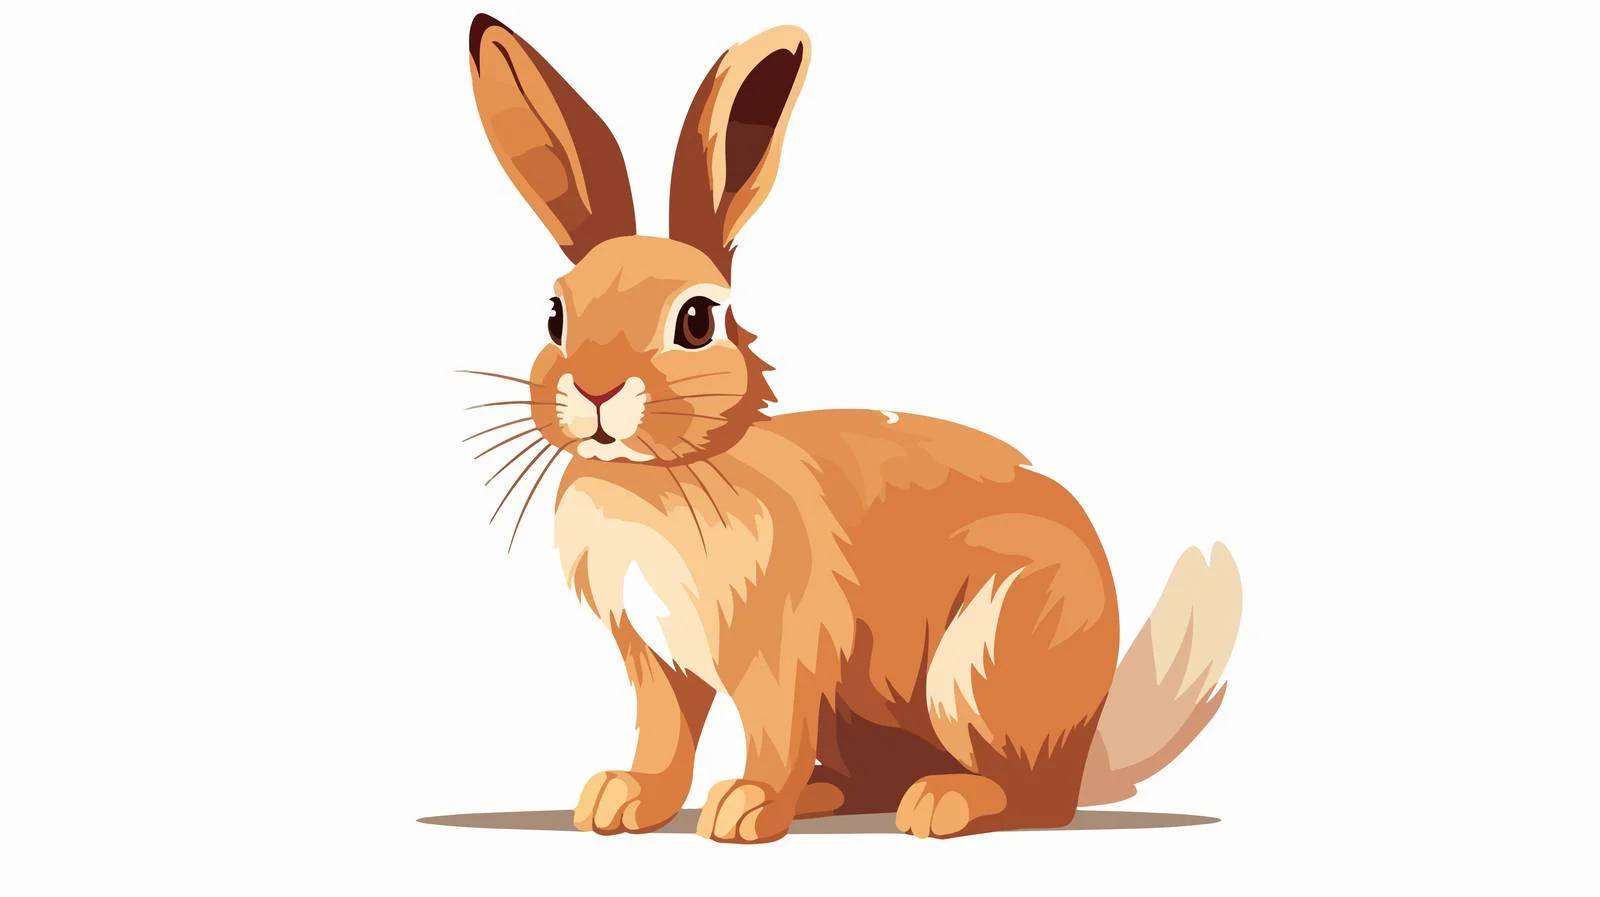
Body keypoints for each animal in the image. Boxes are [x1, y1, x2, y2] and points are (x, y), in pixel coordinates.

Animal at [461, 13, 1242, 842]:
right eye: (555, 315)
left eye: (697, 321)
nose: (597, 388)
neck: (660, 475)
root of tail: (1087, 740)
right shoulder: (656, 660)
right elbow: (664, 736)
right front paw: (621, 800)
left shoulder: (780, 653)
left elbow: (769, 730)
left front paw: (744, 810)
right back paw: (826, 796)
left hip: (980, 664)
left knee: (1036, 798)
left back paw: (940, 802)